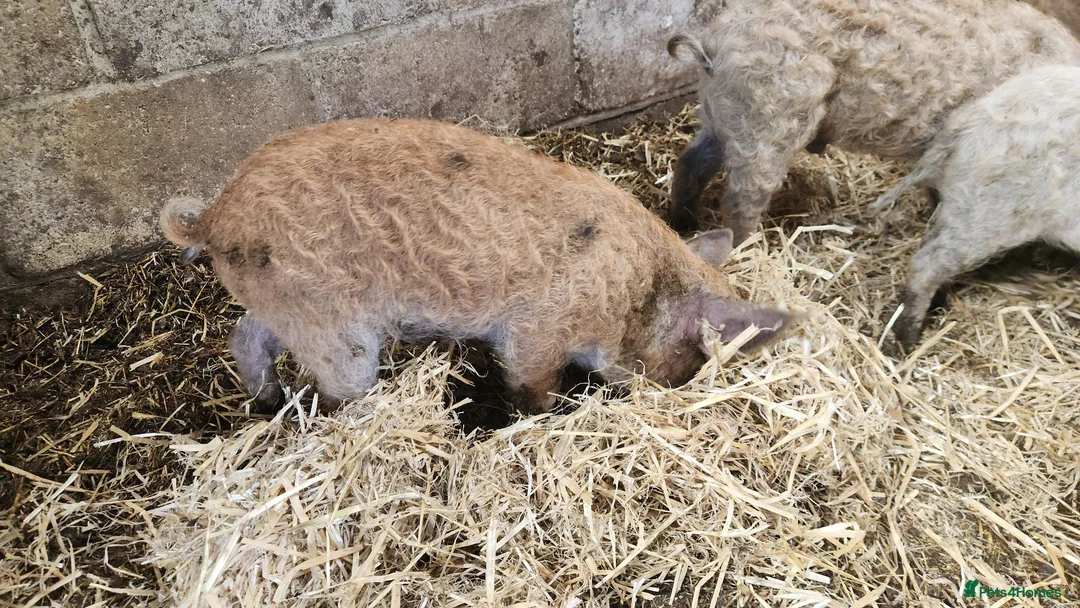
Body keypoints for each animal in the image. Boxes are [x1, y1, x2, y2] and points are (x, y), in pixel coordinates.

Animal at [160, 118, 794, 414]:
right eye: (692, 357)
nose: (668, 387)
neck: (633, 290)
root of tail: (214, 217)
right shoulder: (538, 329)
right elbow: (532, 385)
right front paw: (537, 415)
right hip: (331, 326)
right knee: (340, 391)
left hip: (283, 303)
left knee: (246, 336)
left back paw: (267, 403)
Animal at [666, 0, 1080, 241]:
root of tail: (713, 46)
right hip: (769, 118)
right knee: (742, 197)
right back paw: (746, 247)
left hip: (720, 114)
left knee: (690, 164)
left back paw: (681, 226)